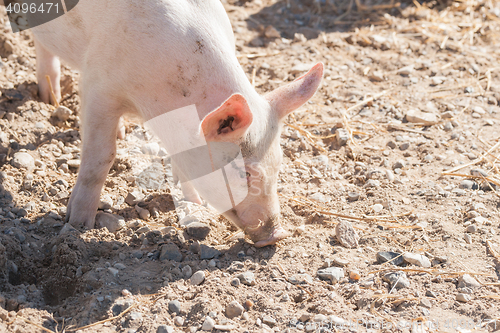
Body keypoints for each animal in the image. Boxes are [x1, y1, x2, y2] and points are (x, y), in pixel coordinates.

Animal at [31, 0, 322, 244]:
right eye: (245, 173)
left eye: (278, 166)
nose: (278, 235)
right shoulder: (98, 85)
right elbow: (101, 156)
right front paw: (78, 224)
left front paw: (194, 204)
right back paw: (50, 99)